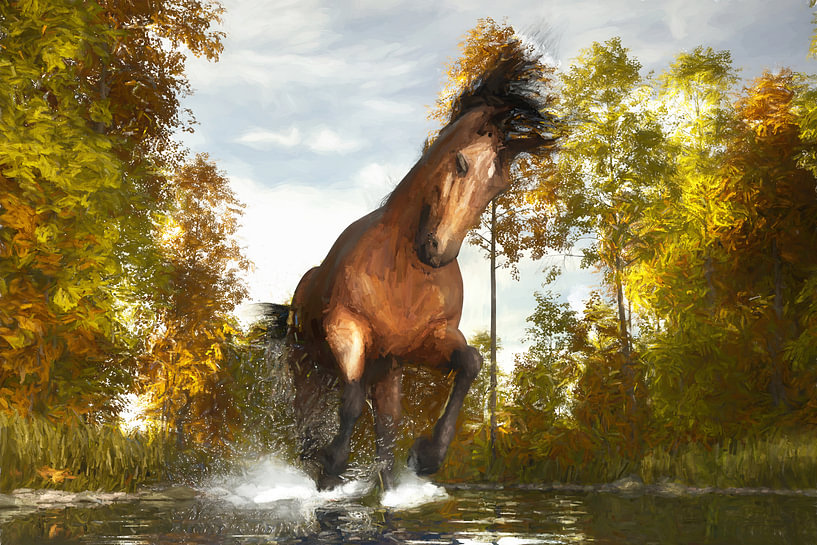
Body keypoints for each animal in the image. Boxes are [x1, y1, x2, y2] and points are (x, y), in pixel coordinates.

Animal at [283, 40, 556, 490]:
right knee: (307, 417)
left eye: (498, 187)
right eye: (461, 163)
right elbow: (350, 402)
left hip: (385, 370)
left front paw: (427, 455)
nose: (438, 252)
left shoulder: (425, 342)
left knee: (385, 427)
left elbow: (471, 363)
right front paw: (331, 466)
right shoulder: (346, 326)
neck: (402, 272)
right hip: (310, 363)